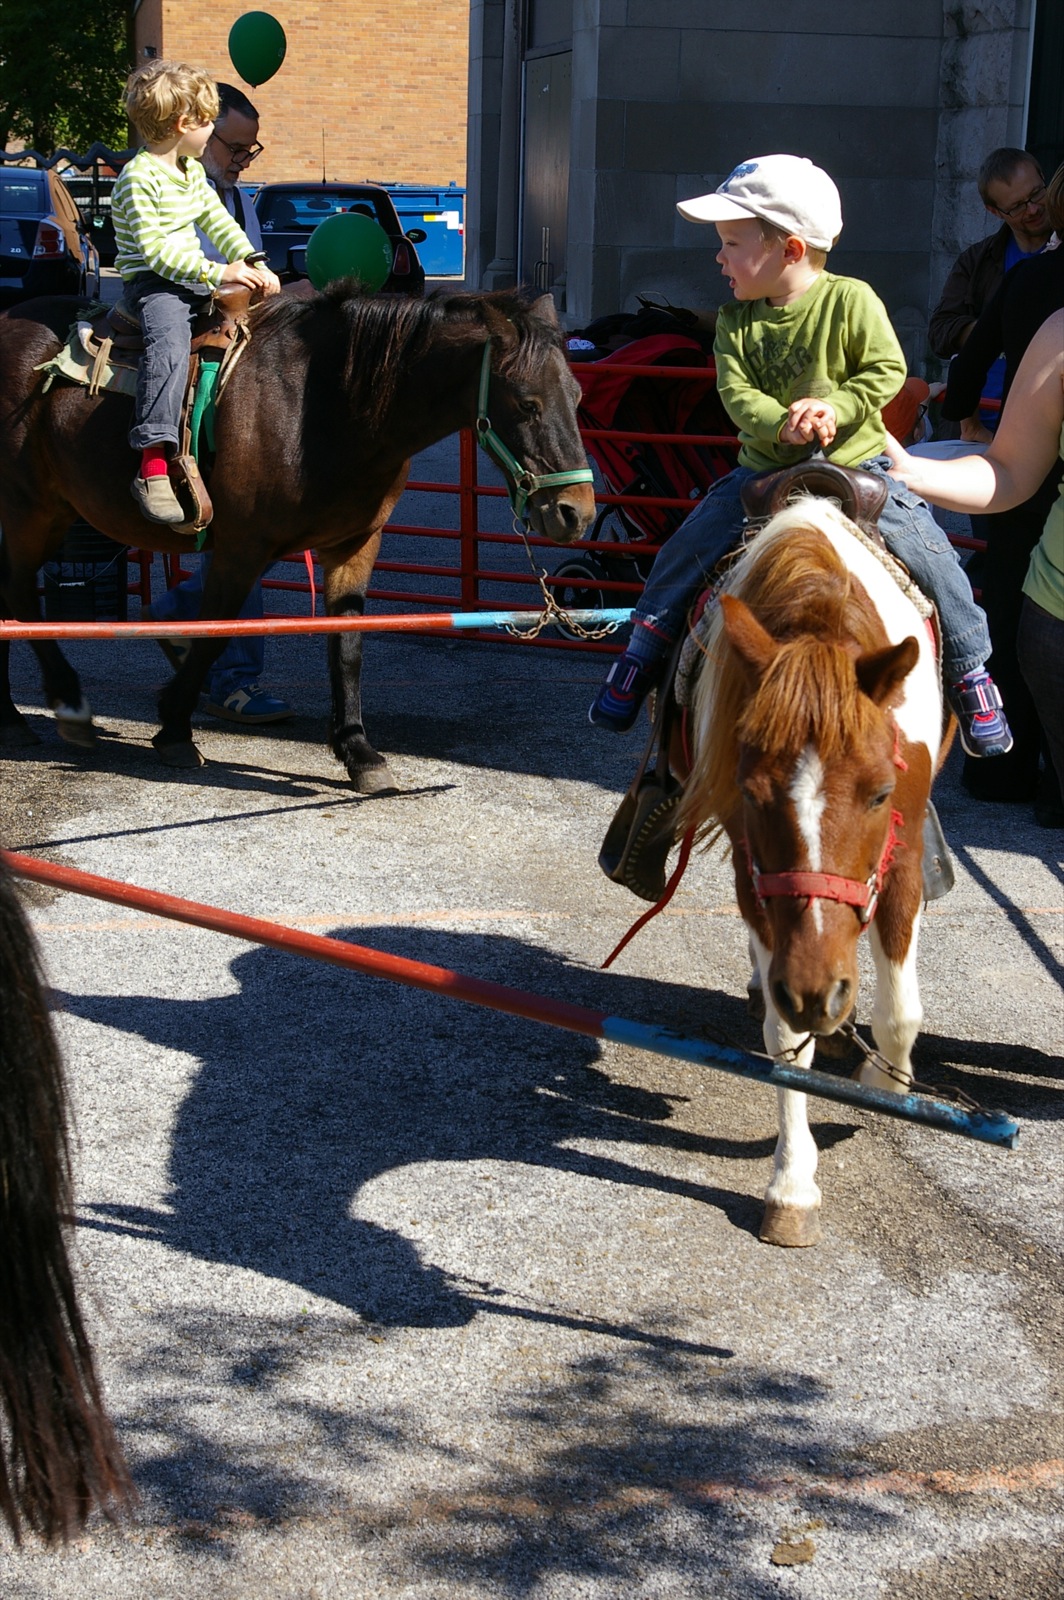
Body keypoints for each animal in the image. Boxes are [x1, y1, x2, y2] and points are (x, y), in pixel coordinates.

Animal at [0, 288, 592, 793]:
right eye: (528, 403)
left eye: (578, 396)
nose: (576, 512)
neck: (322, 406)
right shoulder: (240, 549)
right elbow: (213, 633)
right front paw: (173, 730)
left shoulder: (355, 546)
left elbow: (347, 646)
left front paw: (359, 752)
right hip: (28, 510)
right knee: (20, 598)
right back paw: (62, 707)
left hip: (53, 513)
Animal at [675, 499, 940, 1248]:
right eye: (753, 791)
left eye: (881, 793)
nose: (821, 991)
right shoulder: (756, 878)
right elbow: (788, 1044)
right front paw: (792, 1183)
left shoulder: (903, 858)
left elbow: (898, 1010)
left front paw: (889, 1086)